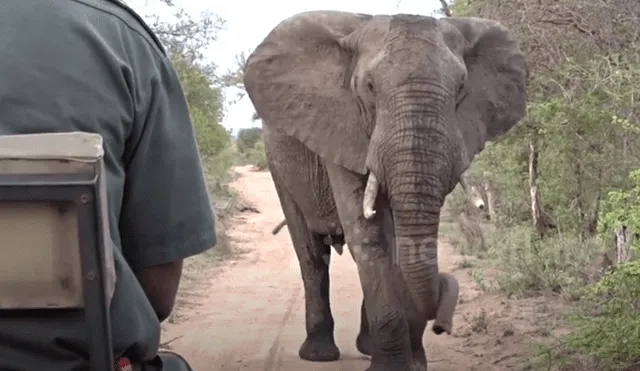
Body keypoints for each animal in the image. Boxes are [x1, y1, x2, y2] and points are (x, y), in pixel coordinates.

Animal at [242, 10, 528, 370]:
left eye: (461, 88)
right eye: (369, 87)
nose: (441, 327)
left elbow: (399, 244)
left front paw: (414, 363)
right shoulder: (341, 127)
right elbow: (370, 237)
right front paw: (394, 366)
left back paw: (365, 346)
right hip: (279, 163)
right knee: (311, 254)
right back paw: (319, 354)